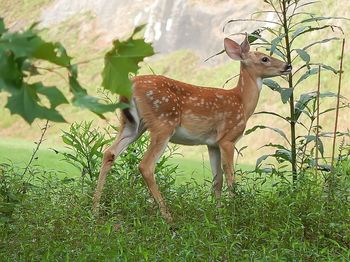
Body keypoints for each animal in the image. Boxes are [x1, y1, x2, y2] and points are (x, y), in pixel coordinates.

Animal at [91, 34, 292, 223]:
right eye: (264, 58)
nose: (288, 65)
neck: (241, 101)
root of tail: (131, 85)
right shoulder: (228, 138)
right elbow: (230, 176)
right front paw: (235, 211)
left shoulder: (212, 143)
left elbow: (217, 180)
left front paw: (218, 214)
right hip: (163, 123)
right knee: (145, 165)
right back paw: (168, 217)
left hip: (132, 124)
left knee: (109, 152)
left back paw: (95, 210)